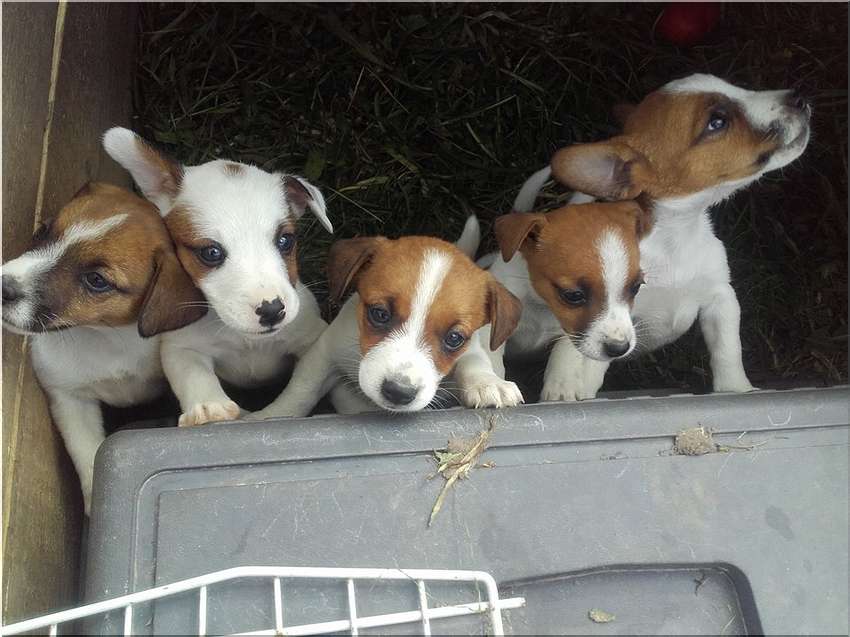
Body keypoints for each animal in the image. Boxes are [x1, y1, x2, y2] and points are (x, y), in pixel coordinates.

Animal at [1, 182, 205, 513]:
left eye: (96, 280)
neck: (106, 336)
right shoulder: (70, 400)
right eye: (43, 231)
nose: (3, 288)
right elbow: (87, 452)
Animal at [103, 127, 335, 426]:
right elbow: (194, 376)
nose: (272, 310)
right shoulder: (181, 347)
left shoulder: (312, 338)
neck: (247, 340)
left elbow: (304, 384)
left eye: (285, 241)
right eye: (211, 252)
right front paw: (209, 407)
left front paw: (273, 415)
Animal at [250, 217, 523, 418]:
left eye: (454, 338)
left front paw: (488, 384)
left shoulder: (472, 348)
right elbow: (301, 391)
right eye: (380, 314)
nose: (399, 393)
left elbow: (475, 362)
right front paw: (270, 416)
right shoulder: (324, 353)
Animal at [453, 202, 647, 405]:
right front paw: (490, 383)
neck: (540, 304)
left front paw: (562, 388)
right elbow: (486, 356)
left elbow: (566, 352)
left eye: (636, 287)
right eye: (573, 295)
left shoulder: (570, 333)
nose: (619, 348)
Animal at [512, 73, 811, 399]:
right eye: (717, 122)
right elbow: (591, 369)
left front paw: (737, 390)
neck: (674, 240)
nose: (800, 97)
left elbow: (728, 352)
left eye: (737, 87)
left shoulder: (720, 298)